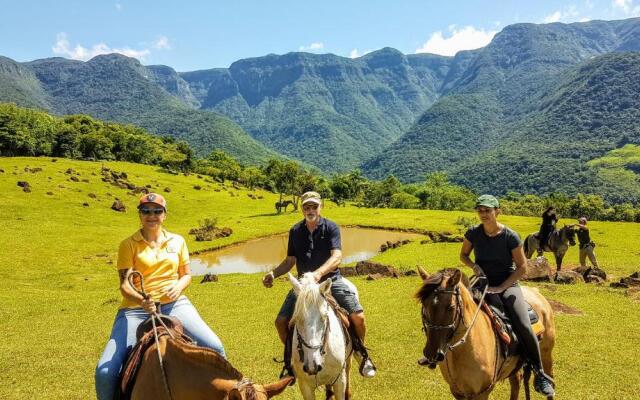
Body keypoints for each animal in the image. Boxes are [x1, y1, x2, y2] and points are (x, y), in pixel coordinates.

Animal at [416, 268, 556, 400]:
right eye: (424, 304)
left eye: (451, 307)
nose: (432, 353)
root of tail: (535, 291)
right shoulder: (457, 391)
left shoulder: (482, 393)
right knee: (516, 380)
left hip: (546, 355)